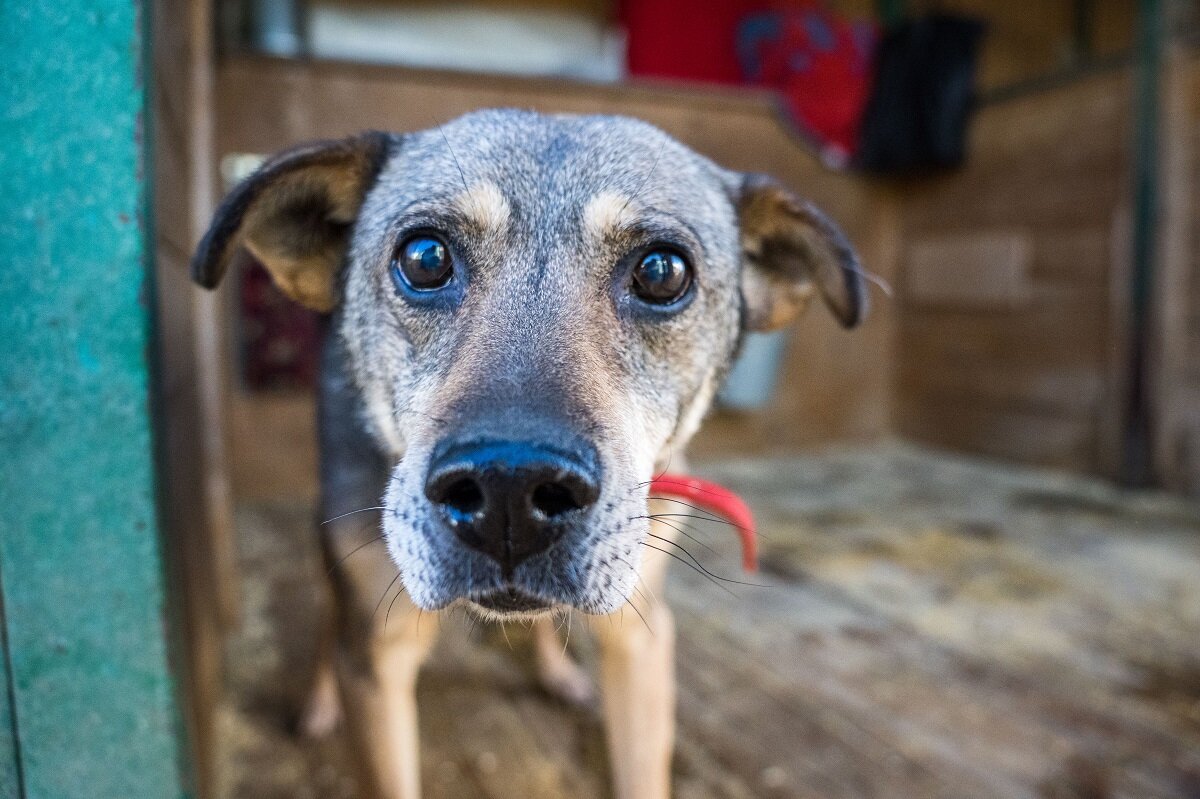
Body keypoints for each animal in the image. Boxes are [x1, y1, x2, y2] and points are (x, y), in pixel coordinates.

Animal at [192, 110, 868, 796]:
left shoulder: (640, 639)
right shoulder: (380, 659)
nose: (508, 491)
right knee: (331, 614)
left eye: (662, 272)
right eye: (425, 258)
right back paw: (319, 700)